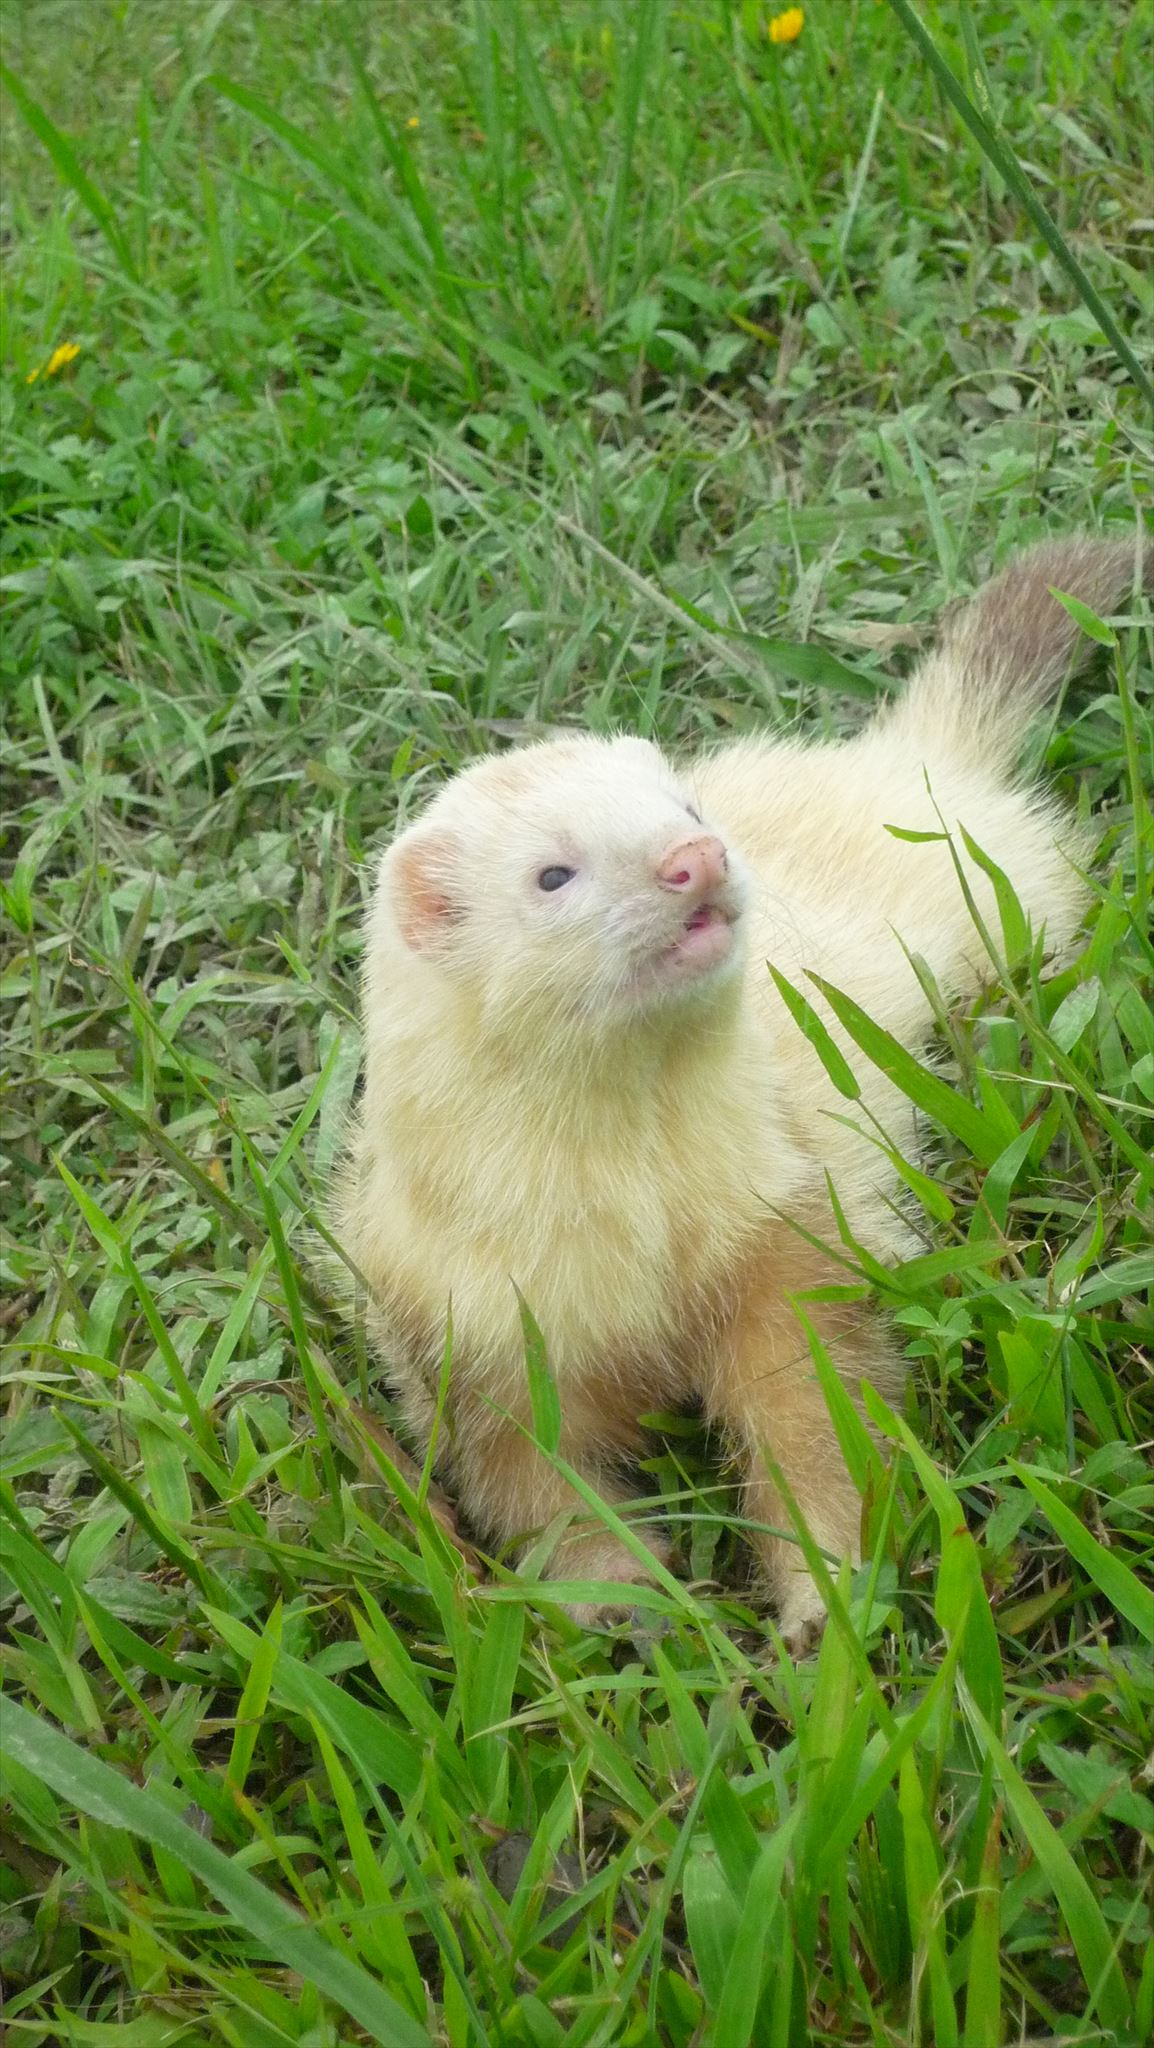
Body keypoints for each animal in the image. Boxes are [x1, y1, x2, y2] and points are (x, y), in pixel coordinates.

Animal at [333, 535, 1148, 1644]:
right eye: (551, 874)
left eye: (685, 808)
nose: (696, 857)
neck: (631, 1239)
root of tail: (896, 758)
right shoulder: (473, 1345)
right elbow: (536, 1493)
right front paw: (619, 1599)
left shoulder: (785, 1237)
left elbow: (816, 1433)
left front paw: (823, 1599)